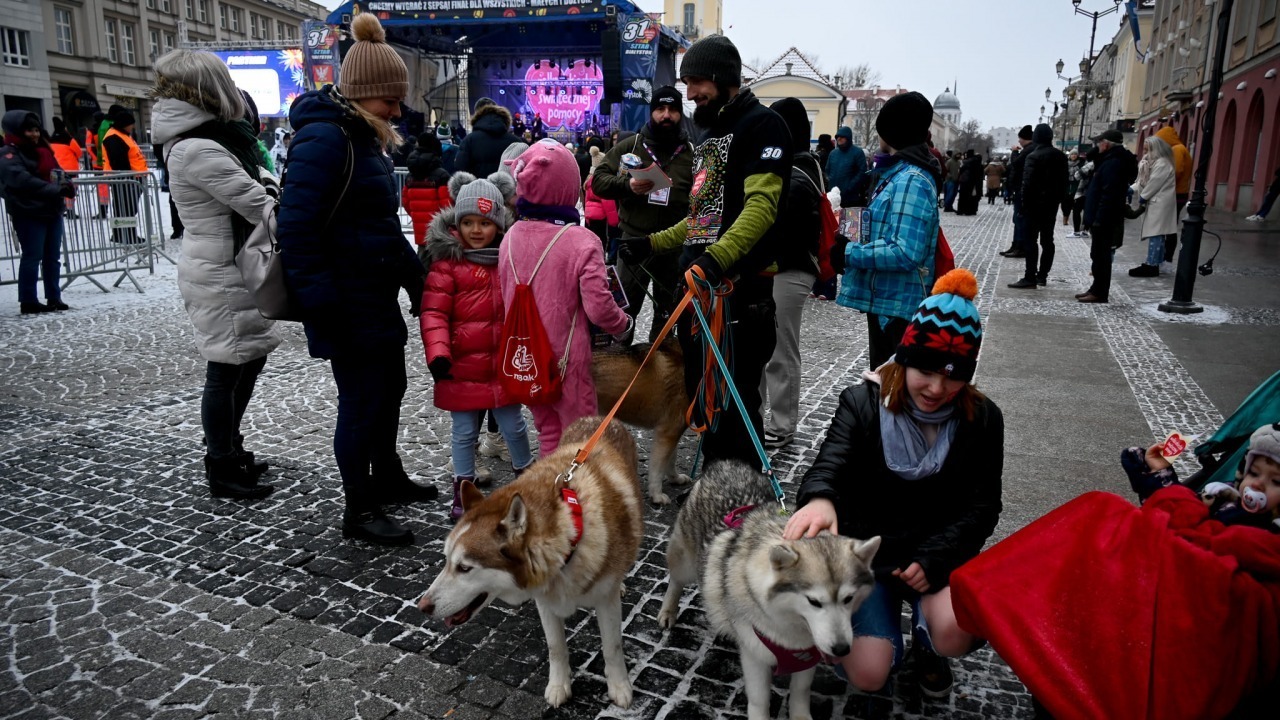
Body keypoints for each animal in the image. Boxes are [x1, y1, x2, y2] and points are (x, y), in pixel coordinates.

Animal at [417, 415, 645, 707]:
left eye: (464, 568)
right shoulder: (545, 600)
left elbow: (612, 647)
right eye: (446, 560)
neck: (570, 543)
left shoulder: (606, 602)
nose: (422, 607)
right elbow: (556, 647)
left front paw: (619, 687)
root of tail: (595, 418)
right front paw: (559, 686)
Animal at [591, 338, 691, 502]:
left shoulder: (673, 430)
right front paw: (656, 495)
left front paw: (675, 479)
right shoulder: (669, 430)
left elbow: (672, 460)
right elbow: (658, 469)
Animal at [660, 458, 880, 717]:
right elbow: (759, 698)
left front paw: (801, 716)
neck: (792, 628)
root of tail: (724, 464)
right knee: (676, 581)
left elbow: (800, 691)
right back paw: (668, 611)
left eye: (849, 598)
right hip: (684, 562)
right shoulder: (755, 656)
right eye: (814, 602)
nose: (842, 649)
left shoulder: (808, 657)